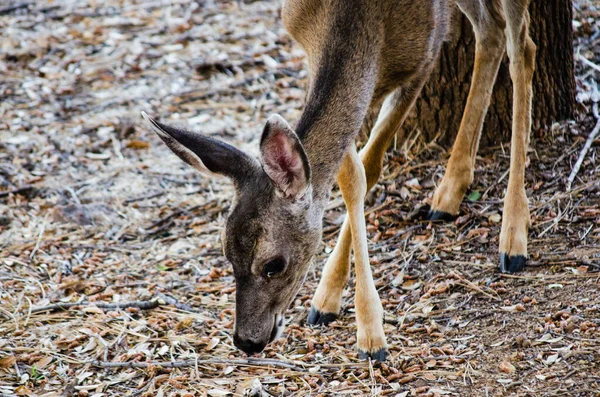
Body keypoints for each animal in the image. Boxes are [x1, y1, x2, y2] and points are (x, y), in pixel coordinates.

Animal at [141, 0, 536, 360]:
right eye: (227, 255)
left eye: (274, 265)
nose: (246, 341)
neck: (355, 19)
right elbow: (347, 175)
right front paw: (328, 298)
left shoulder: (424, 55)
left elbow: (369, 166)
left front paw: (370, 334)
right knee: (491, 29)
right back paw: (449, 193)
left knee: (520, 42)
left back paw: (513, 236)